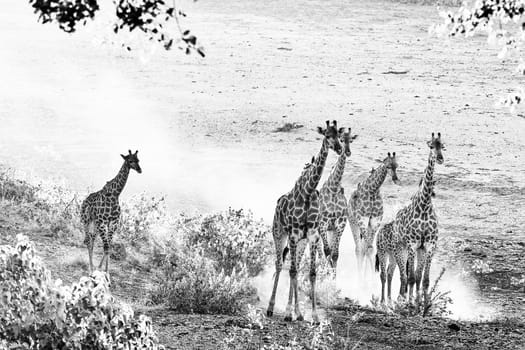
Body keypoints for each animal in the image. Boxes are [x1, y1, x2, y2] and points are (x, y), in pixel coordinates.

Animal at [266, 120, 344, 326]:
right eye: (327, 135)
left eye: (339, 136)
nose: (339, 148)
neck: (308, 192)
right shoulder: (293, 234)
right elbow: (292, 271)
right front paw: (288, 313)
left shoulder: (312, 235)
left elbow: (311, 273)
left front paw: (313, 317)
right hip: (279, 234)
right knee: (280, 264)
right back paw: (271, 308)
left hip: (300, 242)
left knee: (295, 266)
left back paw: (298, 313)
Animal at [318, 129, 358, 270]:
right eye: (341, 139)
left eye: (351, 140)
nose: (347, 152)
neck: (334, 188)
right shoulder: (322, 223)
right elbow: (327, 251)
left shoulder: (340, 223)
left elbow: (335, 254)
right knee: (319, 250)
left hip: (331, 230)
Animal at [392, 133, 442, 304]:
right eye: (431, 146)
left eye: (443, 146)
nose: (440, 158)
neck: (425, 206)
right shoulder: (412, 245)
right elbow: (412, 278)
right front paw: (411, 303)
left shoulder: (428, 246)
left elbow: (424, 279)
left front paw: (424, 304)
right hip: (399, 248)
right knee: (404, 277)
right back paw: (400, 299)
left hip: (418, 251)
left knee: (415, 277)